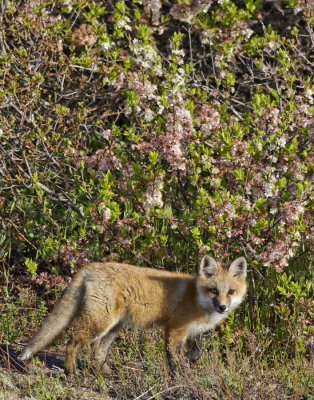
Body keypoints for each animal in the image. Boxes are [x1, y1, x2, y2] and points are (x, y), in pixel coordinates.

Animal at [19, 255, 248, 376]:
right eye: (213, 290)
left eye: (231, 292)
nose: (222, 307)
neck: (197, 298)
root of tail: (93, 266)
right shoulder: (174, 330)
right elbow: (174, 359)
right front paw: (180, 377)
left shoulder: (192, 333)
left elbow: (197, 352)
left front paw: (189, 362)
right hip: (100, 323)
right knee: (73, 343)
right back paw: (70, 373)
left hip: (114, 327)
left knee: (98, 352)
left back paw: (104, 373)